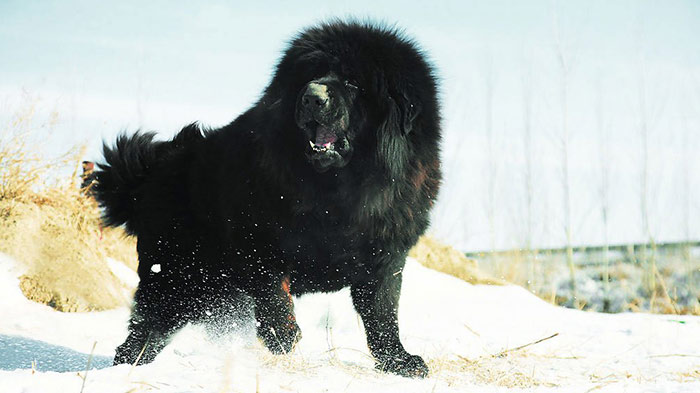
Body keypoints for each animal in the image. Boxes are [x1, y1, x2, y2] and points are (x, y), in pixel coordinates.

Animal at [95, 20, 440, 376]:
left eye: (352, 82)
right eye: (310, 76)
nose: (312, 96)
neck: (334, 195)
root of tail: (148, 173)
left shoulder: (386, 257)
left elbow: (383, 314)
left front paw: (399, 361)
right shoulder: (255, 239)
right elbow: (272, 289)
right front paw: (282, 335)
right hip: (175, 279)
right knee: (145, 330)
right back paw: (126, 368)